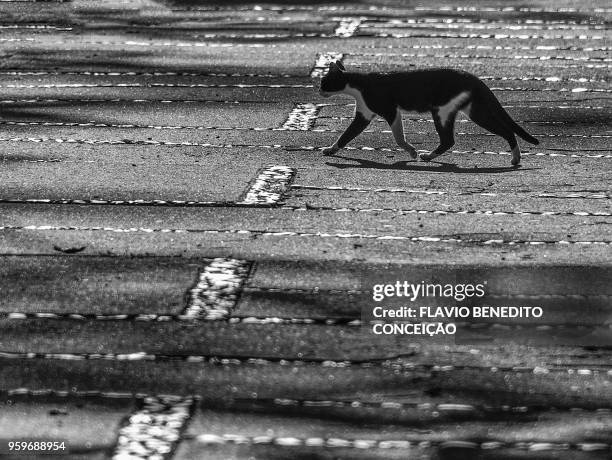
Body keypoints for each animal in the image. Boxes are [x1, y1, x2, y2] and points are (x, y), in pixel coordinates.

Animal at [318, 61, 536, 165]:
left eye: (323, 82)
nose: (318, 90)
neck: (359, 85)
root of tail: (474, 78)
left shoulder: (390, 110)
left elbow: (398, 138)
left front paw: (412, 152)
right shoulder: (364, 113)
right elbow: (346, 135)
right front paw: (330, 150)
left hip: (450, 111)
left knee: (506, 131)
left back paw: (516, 159)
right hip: (457, 110)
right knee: (449, 140)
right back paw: (429, 157)